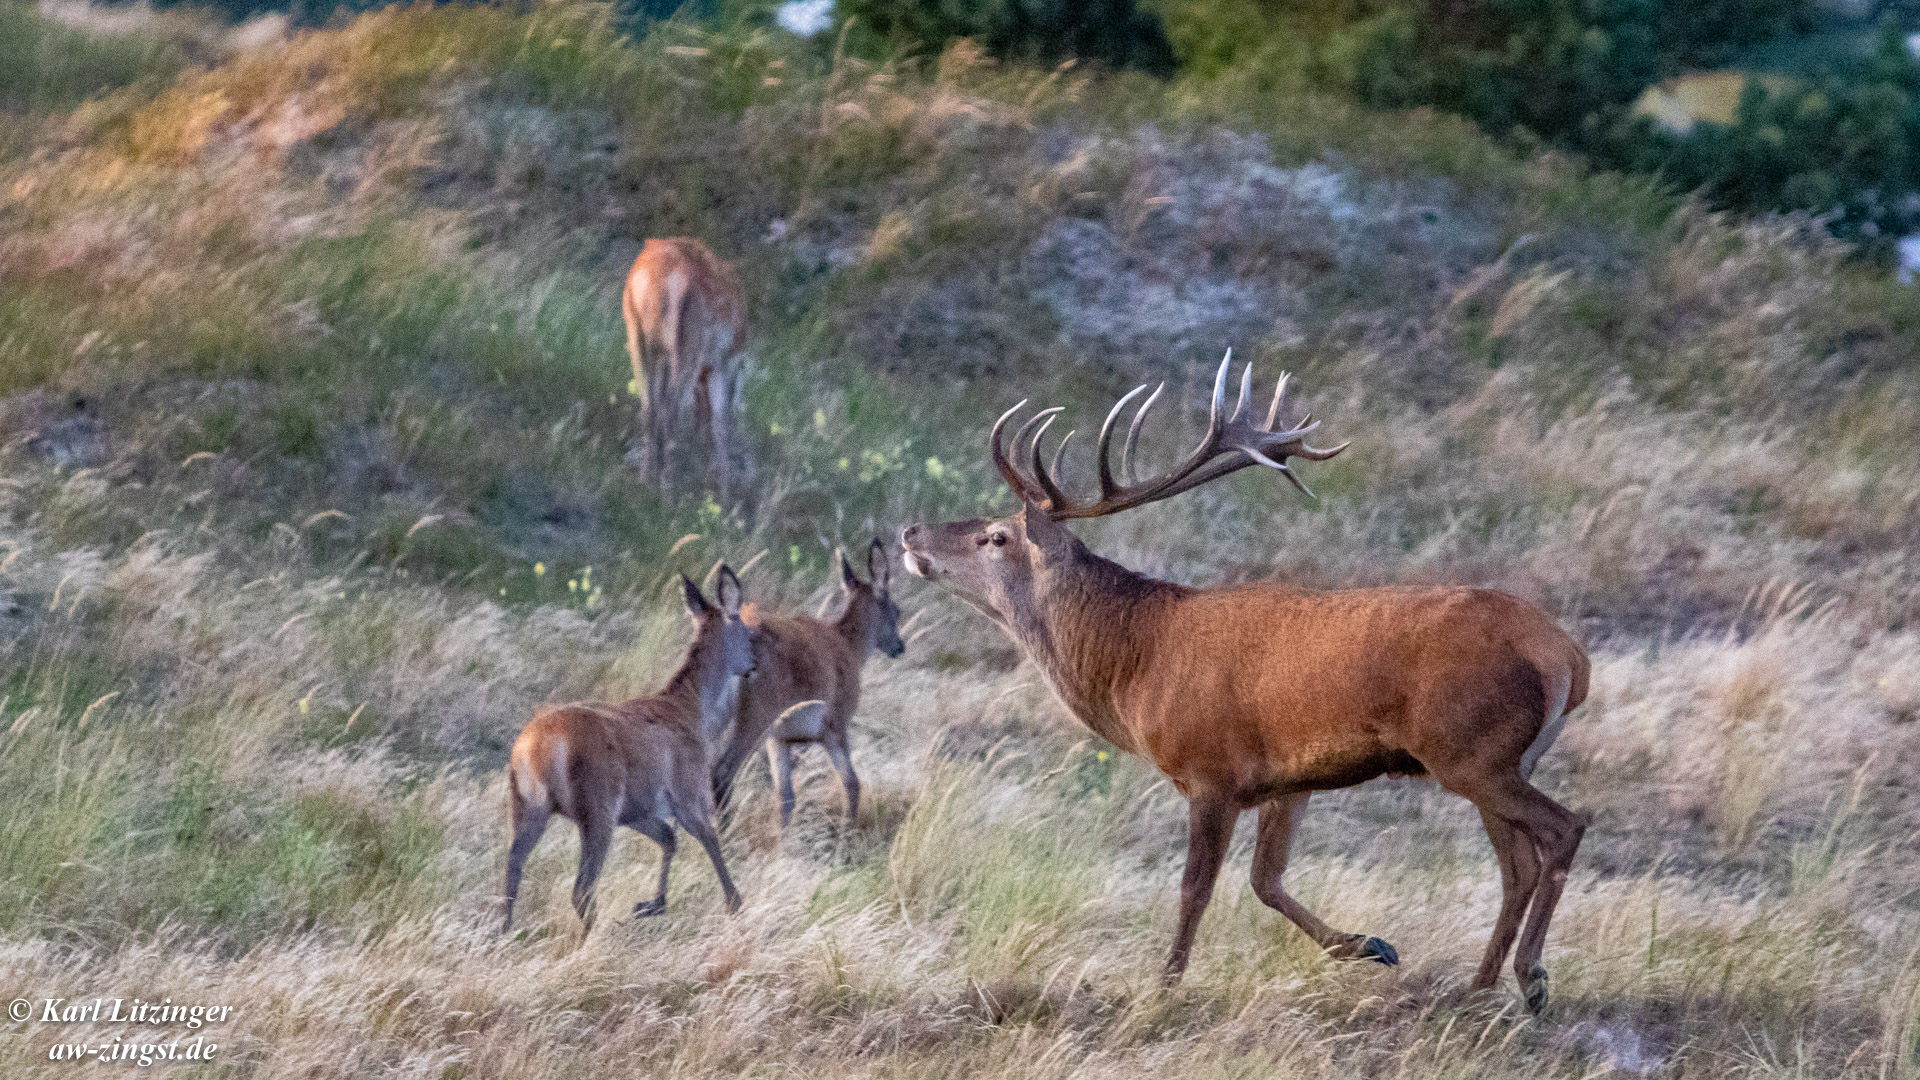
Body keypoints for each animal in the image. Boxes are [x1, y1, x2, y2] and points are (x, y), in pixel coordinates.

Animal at [499, 568, 791, 930]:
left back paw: (505, 933)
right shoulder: (689, 789)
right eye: (750, 636)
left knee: (511, 871)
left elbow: (668, 838)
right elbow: (710, 840)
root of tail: (538, 747)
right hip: (598, 805)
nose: (755, 665)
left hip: (528, 805)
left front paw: (653, 903)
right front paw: (734, 905)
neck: (694, 716)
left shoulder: (639, 809)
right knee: (582, 889)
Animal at [629, 234, 748, 499]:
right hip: (688, 343)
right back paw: (669, 490)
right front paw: (725, 493)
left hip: (637, 335)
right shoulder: (721, 363)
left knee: (649, 406)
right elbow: (720, 421)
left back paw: (646, 481)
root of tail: (659, 279)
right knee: (670, 409)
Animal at [714, 538, 906, 822]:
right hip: (754, 715)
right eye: (897, 610)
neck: (849, 646)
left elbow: (785, 797)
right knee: (721, 774)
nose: (900, 646)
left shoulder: (779, 738)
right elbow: (851, 783)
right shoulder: (835, 723)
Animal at [898, 353, 1589, 1006]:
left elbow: (1195, 888)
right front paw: (1371, 945)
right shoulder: (1291, 778)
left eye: (996, 536)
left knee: (1563, 830)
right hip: (1496, 758)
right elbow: (1266, 880)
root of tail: (1570, 659)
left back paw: (1530, 977)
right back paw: (1479, 988)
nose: (909, 531)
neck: (1135, 665)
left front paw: (1164, 988)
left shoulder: (1212, 771)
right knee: (1517, 864)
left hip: (1471, 749)